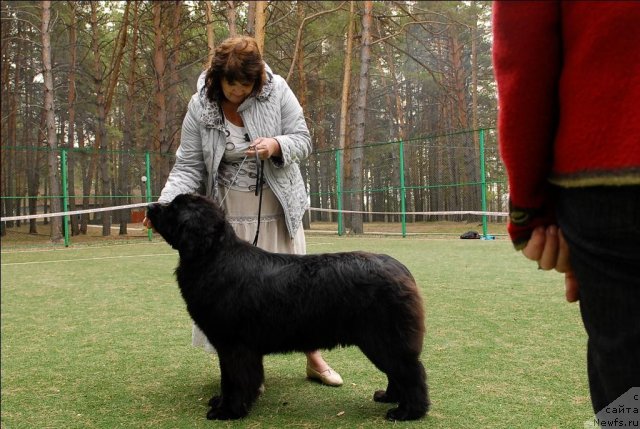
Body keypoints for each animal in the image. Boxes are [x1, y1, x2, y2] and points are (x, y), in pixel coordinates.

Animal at [146, 194, 430, 422]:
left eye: (173, 208)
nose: (149, 206)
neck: (212, 256)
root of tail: (400, 269)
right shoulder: (232, 347)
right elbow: (230, 377)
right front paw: (225, 402)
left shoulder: (234, 345)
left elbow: (234, 380)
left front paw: (228, 411)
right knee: (398, 372)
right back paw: (389, 397)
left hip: (384, 338)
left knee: (411, 372)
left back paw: (408, 412)